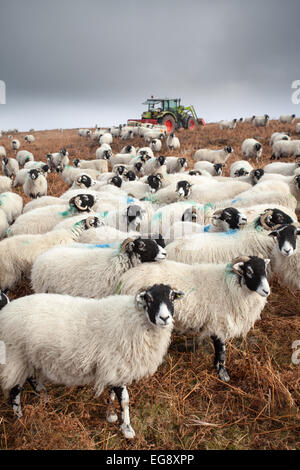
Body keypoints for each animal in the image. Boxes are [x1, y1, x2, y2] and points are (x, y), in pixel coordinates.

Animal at [0, 280, 180, 438]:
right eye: (149, 299)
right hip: (15, 356)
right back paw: (19, 419)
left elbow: (113, 394)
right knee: (15, 390)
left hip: (28, 357)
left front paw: (111, 414)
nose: (165, 318)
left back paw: (44, 396)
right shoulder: (116, 364)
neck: (136, 320)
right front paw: (127, 429)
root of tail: (6, 310)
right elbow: (125, 400)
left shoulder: (113, 368)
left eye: (172, 297)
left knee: (31, 377)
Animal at [119, 253, 270, 382]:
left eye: (265, 269)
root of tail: (126, 277)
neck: (230, 286)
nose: (266, 291)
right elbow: (221, 350)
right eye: (249, 271)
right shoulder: (219, 322)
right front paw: (223, 374)